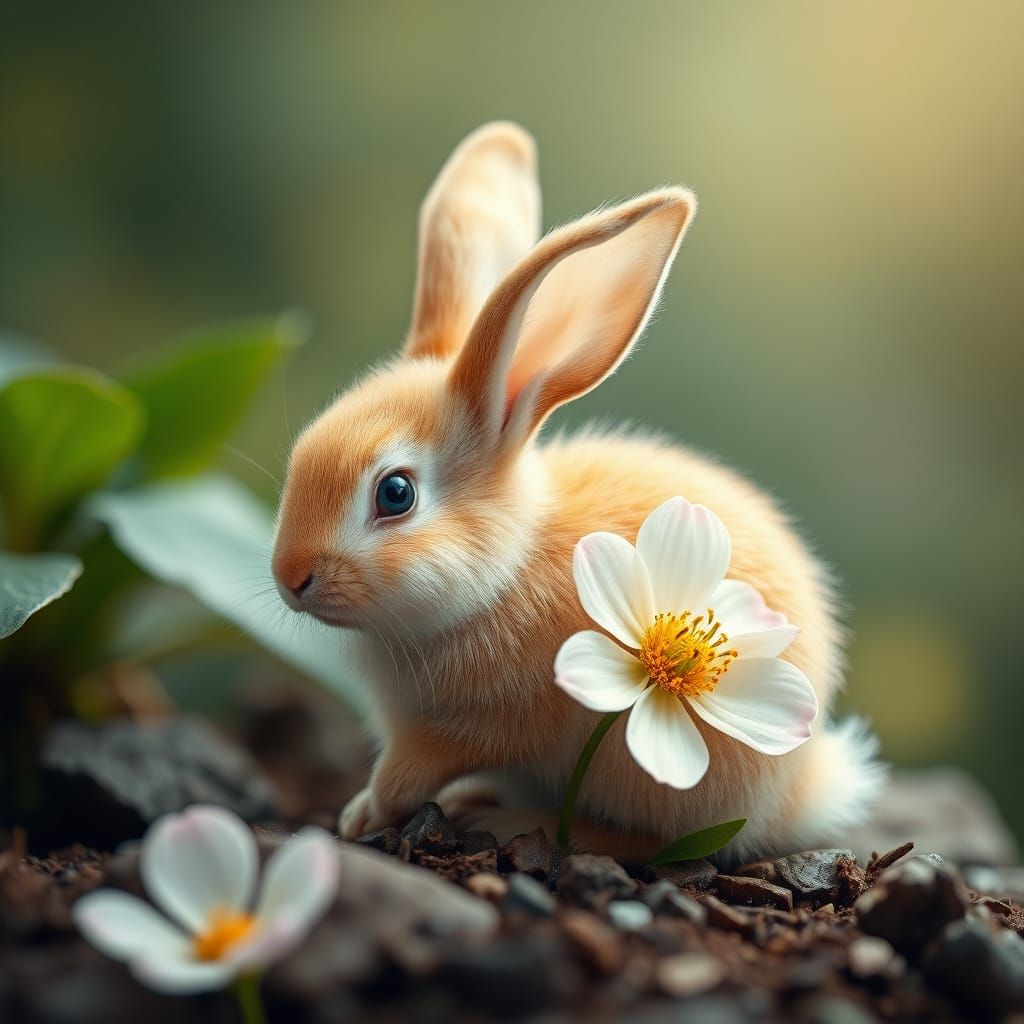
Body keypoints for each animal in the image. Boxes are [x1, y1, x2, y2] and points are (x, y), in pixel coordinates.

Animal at [271, 121, 886, 864]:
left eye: (395, 493)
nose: (290, 576)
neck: (507, 569)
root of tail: (802, 791)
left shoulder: (481, 725)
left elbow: (408, 772)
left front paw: (360, 815)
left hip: (651, 767)